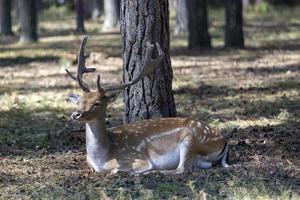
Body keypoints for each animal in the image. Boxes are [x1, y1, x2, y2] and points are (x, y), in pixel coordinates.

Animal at [66, 36, 230, 174]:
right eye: (80, 100)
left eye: (97, 103)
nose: (75, 114)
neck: (103, 158)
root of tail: (224, 141)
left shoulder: (137, 158)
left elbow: (116, 170)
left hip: (191, 140)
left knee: (181, 169)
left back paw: (155, 172)